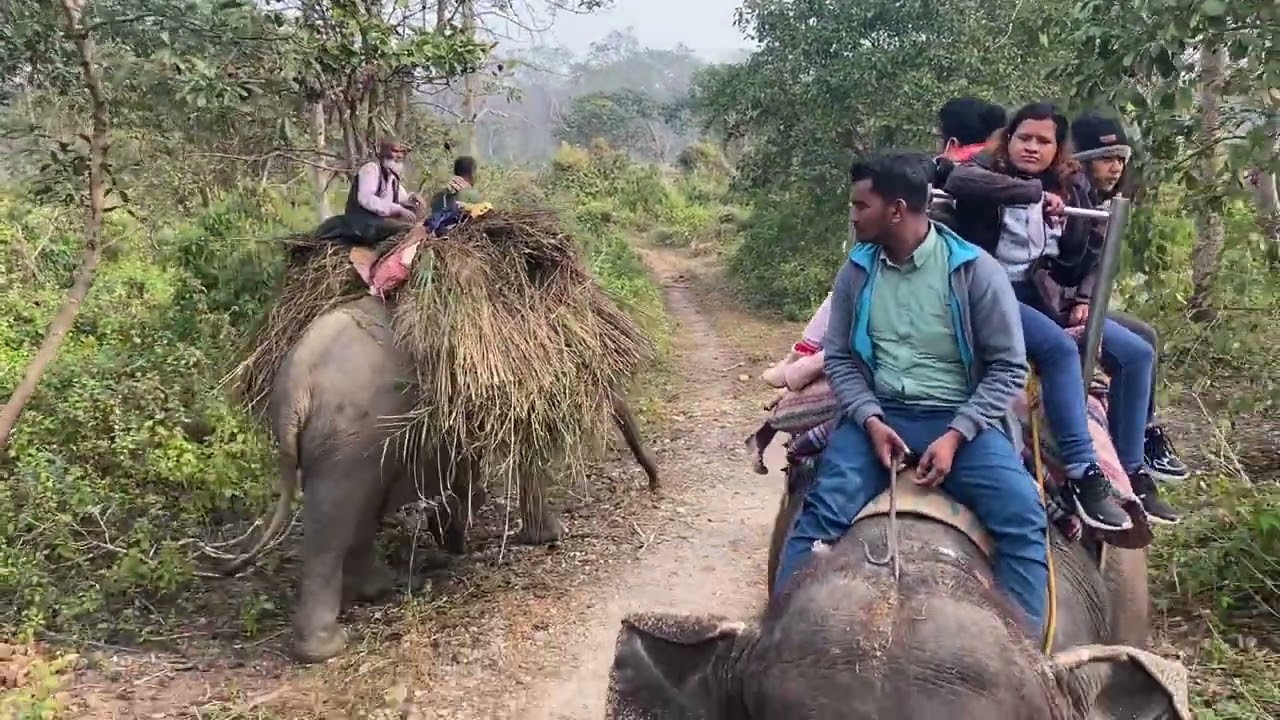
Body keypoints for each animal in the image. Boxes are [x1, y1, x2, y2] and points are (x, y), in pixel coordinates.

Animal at [216, 296, 660, 663]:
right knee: (338, 520)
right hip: (350, 440)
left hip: (341, 443)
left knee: (355, 510)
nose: (656, 484)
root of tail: (294, 386)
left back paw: (378, 589)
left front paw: (453, 534)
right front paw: (546, 537)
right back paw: (330, 645)